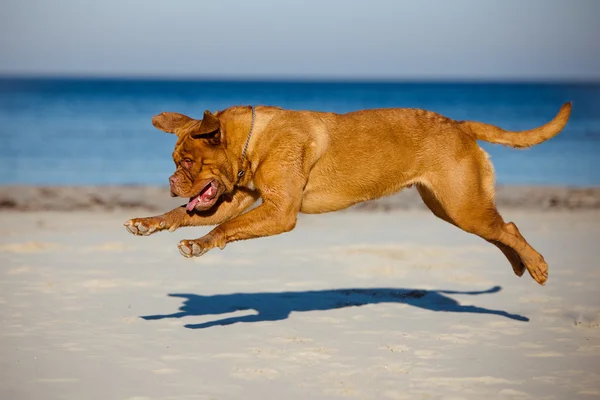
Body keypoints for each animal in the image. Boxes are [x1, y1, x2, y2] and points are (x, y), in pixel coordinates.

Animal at [123, 103, 572, 284]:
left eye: (187, 162)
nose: (170, 181)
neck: (252, 143)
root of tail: (460, 124)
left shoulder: (279, 211)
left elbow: (224, 228)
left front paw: (200, 244)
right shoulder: (241, 198)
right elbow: (184, 215)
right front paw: (149, 222)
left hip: (464, 206)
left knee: (508, 227)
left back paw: (536, 265)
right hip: (450, 207)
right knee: (501, 230)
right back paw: (520, 265)